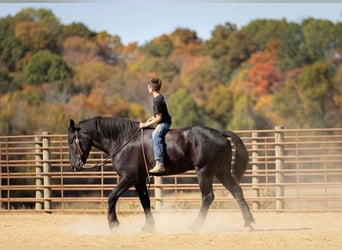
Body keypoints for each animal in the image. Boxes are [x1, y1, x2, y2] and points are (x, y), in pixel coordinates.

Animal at [67, 116, 254, 231]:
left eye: (72, 141)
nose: (75, 165)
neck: (123, 140)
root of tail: (220, 133)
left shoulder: (128, 178)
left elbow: (112, 196)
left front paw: (114, 224)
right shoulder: (139, 180)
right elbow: (145, 202)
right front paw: (149, 226)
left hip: (205, 172)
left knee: (208, 197)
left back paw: (195, 225)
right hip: (222, 172)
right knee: (237, 192)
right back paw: (248, 223)